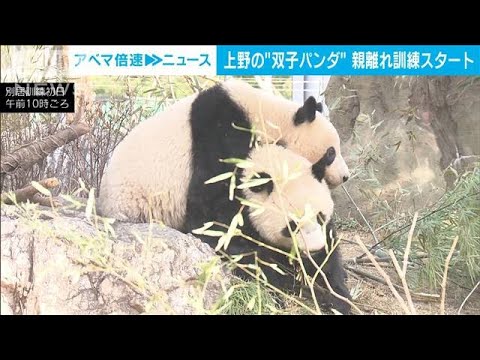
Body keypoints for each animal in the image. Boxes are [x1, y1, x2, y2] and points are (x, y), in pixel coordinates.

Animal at [196, 145, 352, 314]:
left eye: (320, 216)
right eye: (292, 226)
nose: (314, 249)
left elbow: (328, 257)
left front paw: (337, 298)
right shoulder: (230, 214)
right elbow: (244, 256)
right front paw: (277, 293)